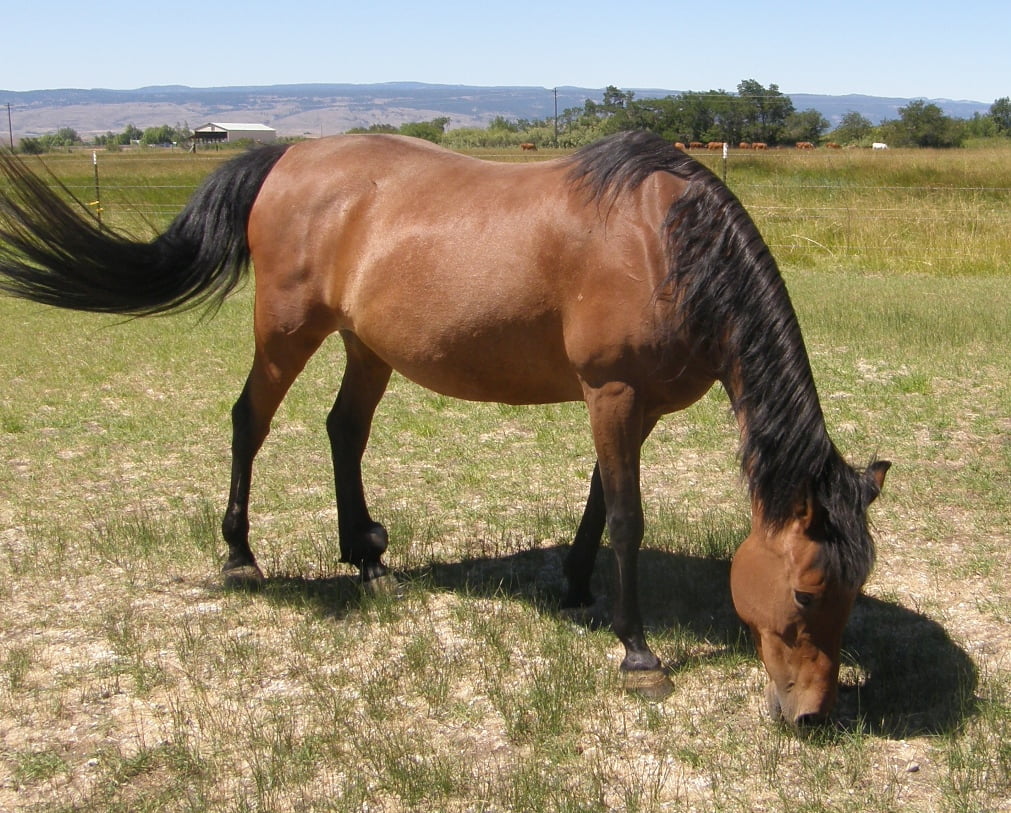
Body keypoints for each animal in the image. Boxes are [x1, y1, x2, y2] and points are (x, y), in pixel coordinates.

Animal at [0, 132, 888, 726]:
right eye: (806, 591)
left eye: (856, 591)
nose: (811, 712)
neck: (665, 245)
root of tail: (286, 156)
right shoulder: (612, 394)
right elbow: (628, 519)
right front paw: (637, 652)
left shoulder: (626, 408)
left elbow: (598, 507)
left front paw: (574, 588)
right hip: (285, 331)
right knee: (249, 420)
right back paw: (240, 555)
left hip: (366, 345)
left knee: (343, 431)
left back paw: (367, 558)